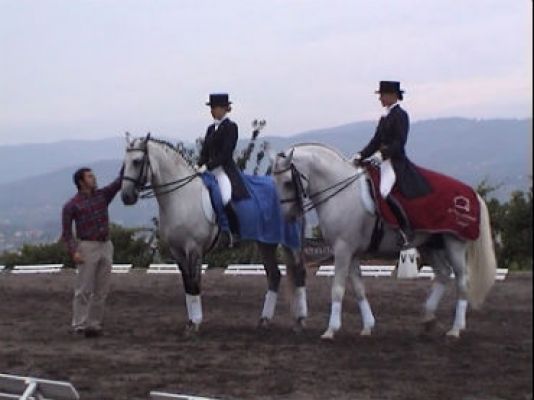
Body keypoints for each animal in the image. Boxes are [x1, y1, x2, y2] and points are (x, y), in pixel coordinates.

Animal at [272, 143, 498, 338]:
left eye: (288, 182)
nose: (284, 216)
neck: (341, 194)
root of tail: (471, 193)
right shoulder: (352, 252)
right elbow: (359, 289)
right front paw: (367, 326)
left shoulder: (343, 250)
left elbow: (337, 288)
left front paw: (331, 330)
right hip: (430, 246)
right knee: (443, 273)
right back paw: (428, 319)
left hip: (454, 244)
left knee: (462, 280)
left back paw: (456, 329)